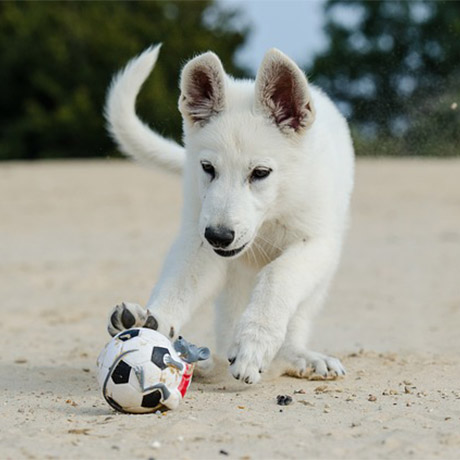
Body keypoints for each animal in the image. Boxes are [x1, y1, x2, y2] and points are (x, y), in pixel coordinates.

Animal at [105, 44, 356, 384]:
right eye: (208, 168)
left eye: (260, 173)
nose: (219, 236)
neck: (273, 212)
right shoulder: (199, 241)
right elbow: (178, 286)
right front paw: (152, 323)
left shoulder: (315, 242)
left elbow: (278, 277)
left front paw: (255, 344)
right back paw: (205, 363)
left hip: (319, 279)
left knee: (296, 318)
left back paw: (297, 356)